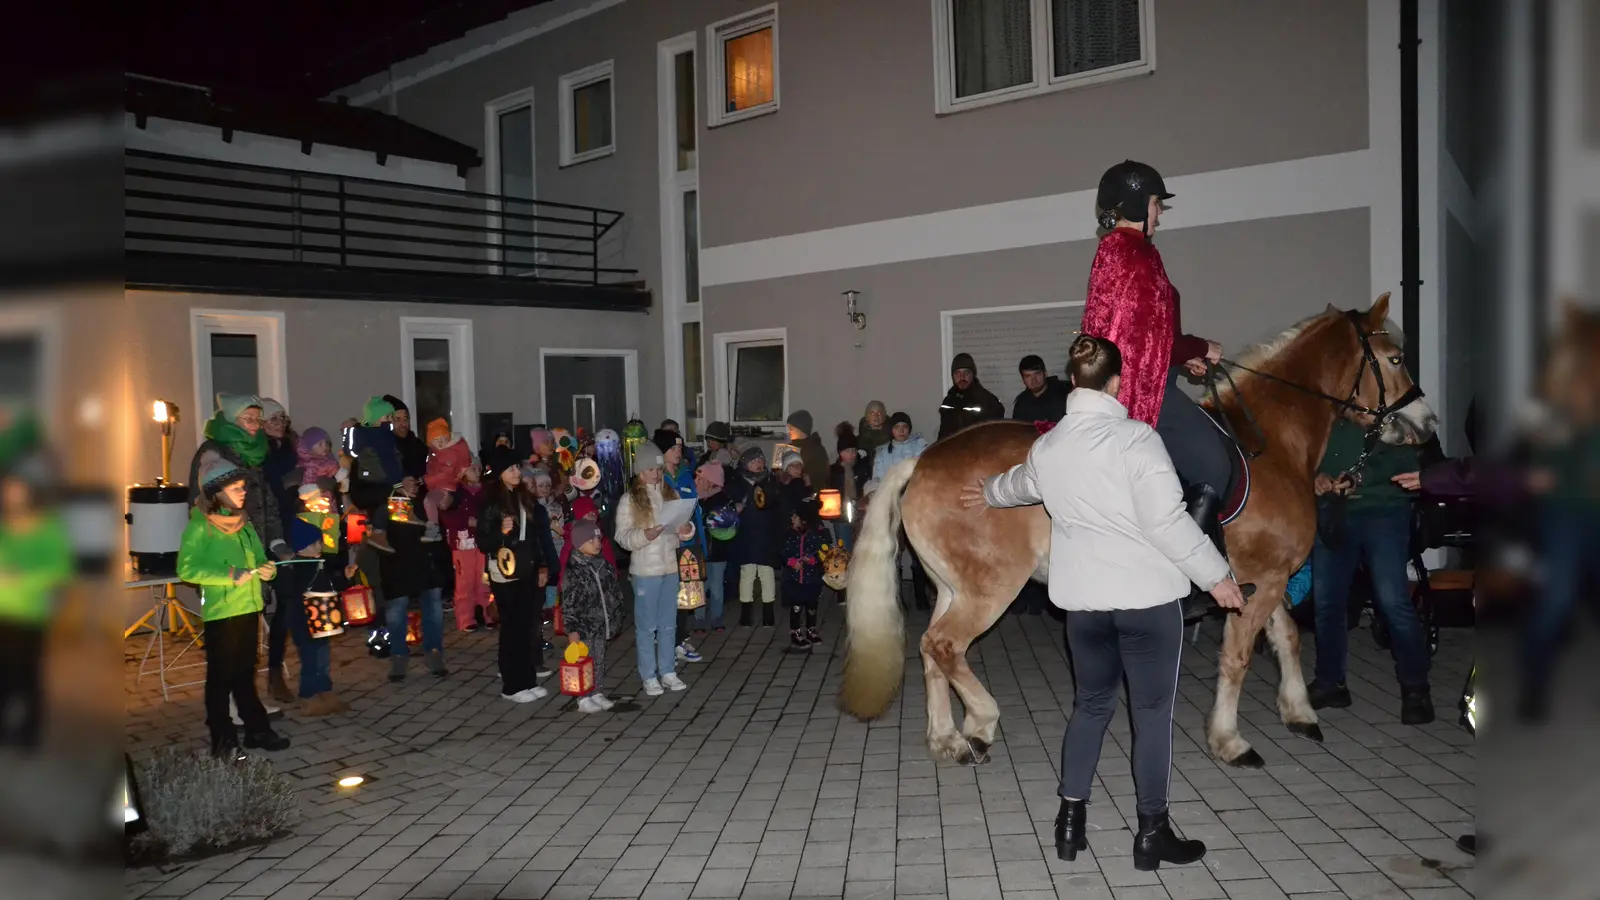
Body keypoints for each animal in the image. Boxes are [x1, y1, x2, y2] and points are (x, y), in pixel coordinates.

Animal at [838, 293, 1440, 762]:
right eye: (1395, 357)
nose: (1426, 424)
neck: (1273, 441)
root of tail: (924, 460)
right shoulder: (1261, 580)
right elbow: (1239, 657)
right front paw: (1230, 739)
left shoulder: (1264, 580)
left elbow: (1287, 637)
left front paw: (1299, 712)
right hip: (989, 588)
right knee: (944, 645)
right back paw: (981, 721)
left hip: (949, 585)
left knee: (930, 652)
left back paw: (947, 739)